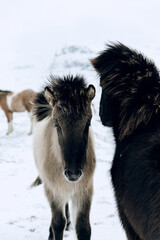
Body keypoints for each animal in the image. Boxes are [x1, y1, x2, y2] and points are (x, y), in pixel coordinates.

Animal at [32, 75, 95, 240]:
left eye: (88, 123)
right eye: (57, 124)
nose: (73, 173)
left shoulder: (84, 190)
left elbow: (83, 227)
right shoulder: (53, 190)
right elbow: (58, 223)